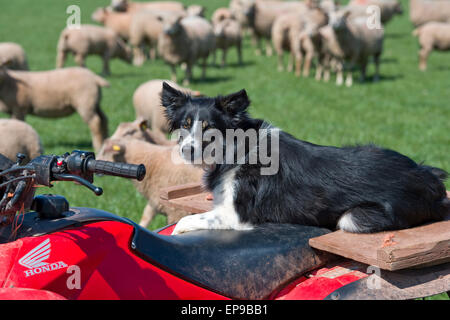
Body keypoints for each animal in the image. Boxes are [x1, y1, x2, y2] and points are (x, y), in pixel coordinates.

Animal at [160, 82, 448, 235]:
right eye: (185, 125)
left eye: (209, 127)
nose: (187, 150)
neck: (238, 148)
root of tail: (428, 177)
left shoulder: (235, 215)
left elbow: (186, 221)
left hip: (352, 219)